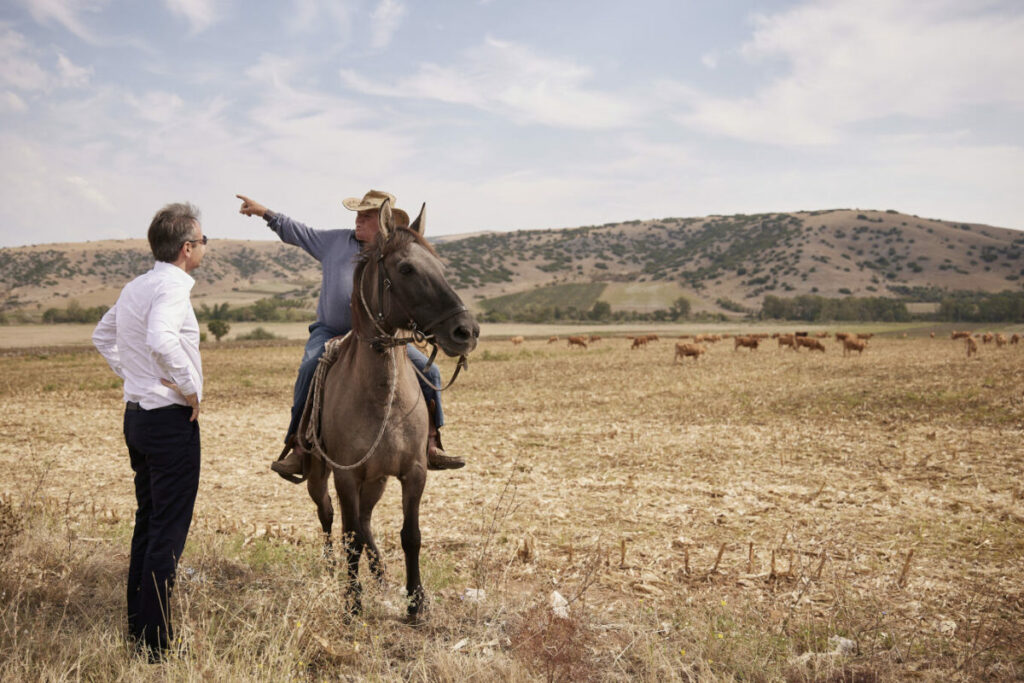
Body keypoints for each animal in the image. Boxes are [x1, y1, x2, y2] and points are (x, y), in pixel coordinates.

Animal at [299, 200, 479, 622]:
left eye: (440, 266)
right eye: (406, 269)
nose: (466, 332)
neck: (383, 397)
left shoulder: (413, 472)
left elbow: (410, 536)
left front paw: (416, 603)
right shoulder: (346, 476)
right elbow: (349, 538)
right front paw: (352, 603)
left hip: (377, 481)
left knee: (364, 523)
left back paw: (380, 573)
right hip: (321, 477)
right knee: (329, 517)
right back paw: (331, 568)